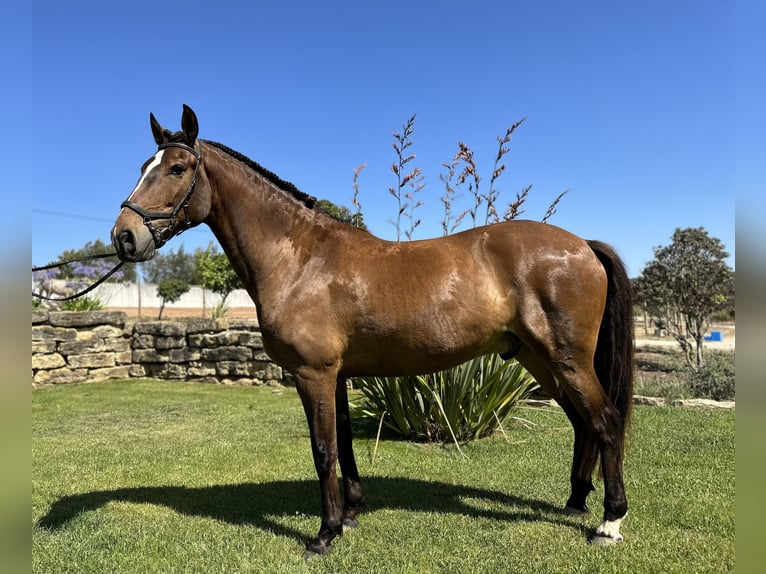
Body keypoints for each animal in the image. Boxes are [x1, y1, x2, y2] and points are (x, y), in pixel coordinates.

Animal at [109, 106, 636, 560]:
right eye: (143, 166)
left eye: (177, 168)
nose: (124, 237)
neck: (301, 259)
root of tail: (582, 245)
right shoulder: (338, 375)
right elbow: (343, 443)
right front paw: (350, 516)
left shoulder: (314, 373)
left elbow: (323, 451)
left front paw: (323, 535)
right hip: (536, 358)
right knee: (583, 423)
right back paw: (576, 501)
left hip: (565, 358)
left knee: (606, 421)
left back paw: (609, 523)